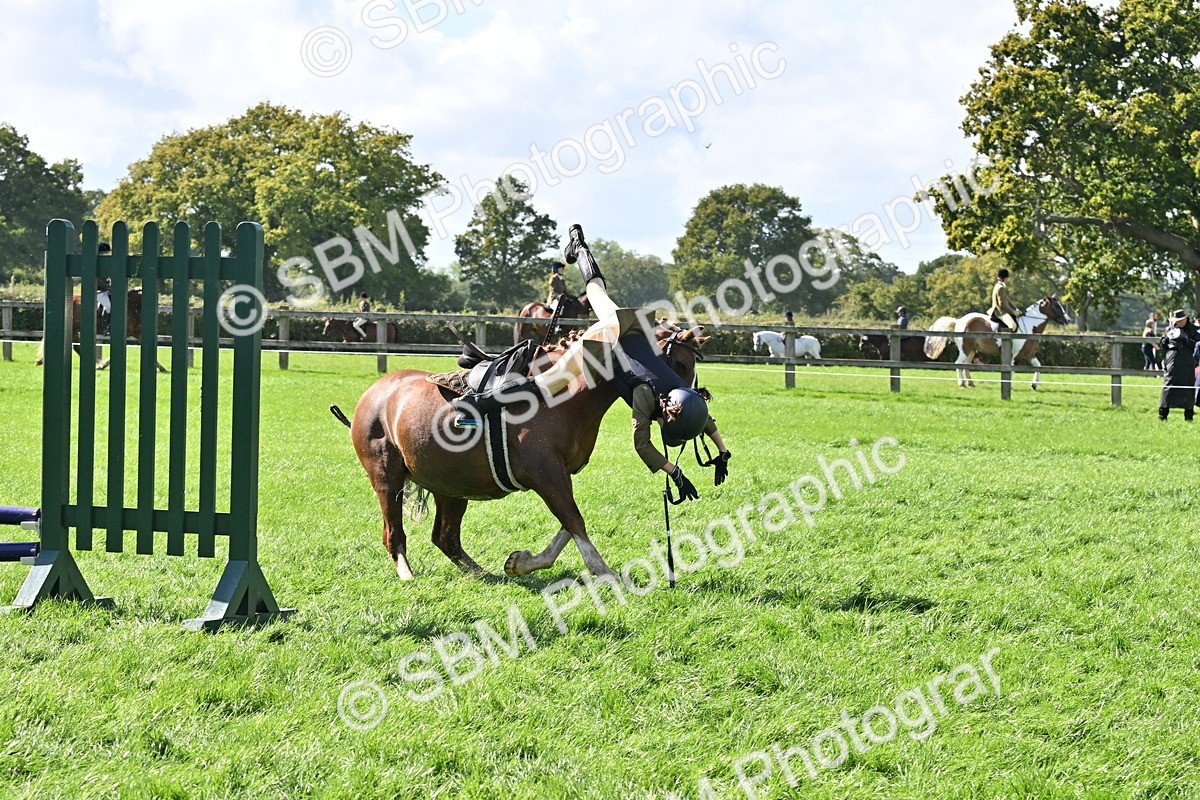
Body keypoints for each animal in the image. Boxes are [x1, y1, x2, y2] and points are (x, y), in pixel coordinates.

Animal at [340, 323, 708, 580]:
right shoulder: (548, 475)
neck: (557, 394)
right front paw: (604, 572)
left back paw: (479, 572)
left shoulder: (561, 474)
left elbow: (567, 524)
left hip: (452, 486)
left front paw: (522, 563)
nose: (686, 409)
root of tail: (375, 392)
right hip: (388, 480)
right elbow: (574, 520)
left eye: (689, 364)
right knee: (393, 534)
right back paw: (406, 573)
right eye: (676, 361)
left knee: (445, 537)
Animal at [924, 297, 1072, 389]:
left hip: (972, 351)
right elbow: (1011, 370)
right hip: (965, 350)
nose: (1068, 320)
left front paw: (1034, 385)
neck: (1030, 326)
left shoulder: (1029, 354)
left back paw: (970, 383)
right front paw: (1009, 385)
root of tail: (960, 320)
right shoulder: (1015, 355)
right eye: (1057, 306)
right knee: (958, 364)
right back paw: (962, 384)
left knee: (965, 365)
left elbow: (1038, 366)